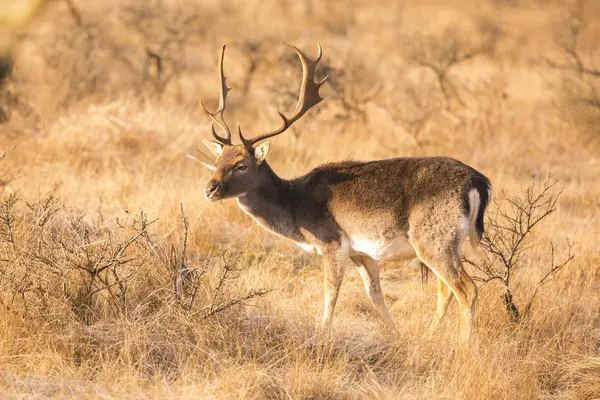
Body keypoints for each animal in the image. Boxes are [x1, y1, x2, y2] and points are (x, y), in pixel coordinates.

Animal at [199, 43, 490, 344]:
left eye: (241, 165)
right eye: (218, 161)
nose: (210, 189)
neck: (296, 207)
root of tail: (478, 182)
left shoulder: (331, 241)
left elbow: (330, 294)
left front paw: (321, 335)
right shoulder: (363, 252)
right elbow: (375, 295)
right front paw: (395, 335)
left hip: (433, 238)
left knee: (467, 289)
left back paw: (464, 346)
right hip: (447, 242)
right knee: (446, 289)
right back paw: (432, 335)